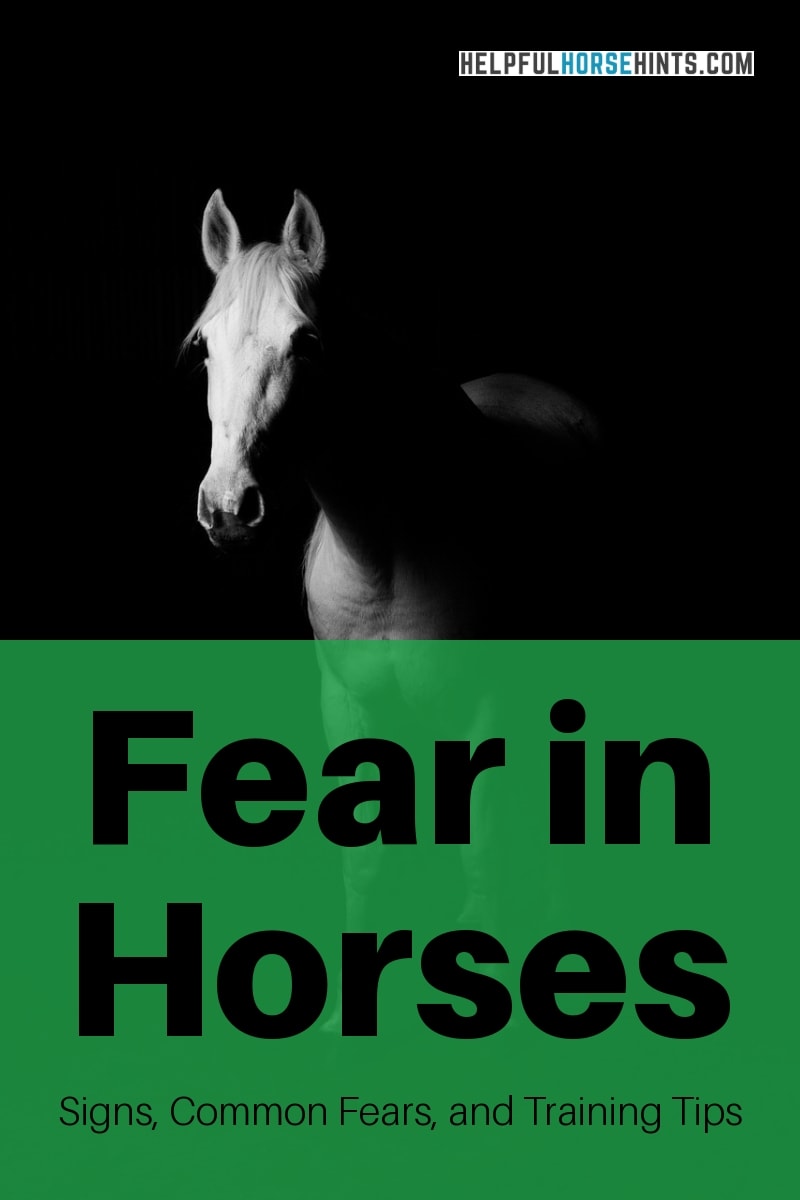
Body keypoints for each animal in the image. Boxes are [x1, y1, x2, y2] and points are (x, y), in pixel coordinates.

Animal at [186, 189, 603, 1028]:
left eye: (307, 342)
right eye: (206, 346)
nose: (229, 509)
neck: (387, 550)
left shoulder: (486, 704)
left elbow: (484, 850)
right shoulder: (350, 705)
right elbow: (370, 861)